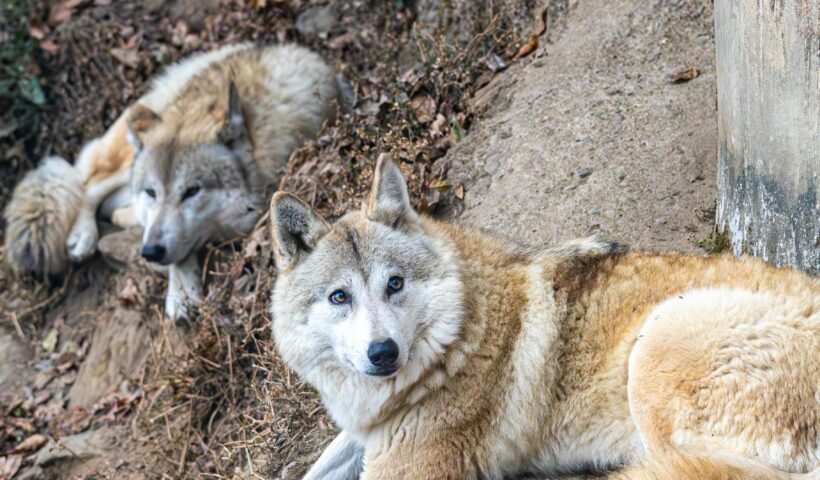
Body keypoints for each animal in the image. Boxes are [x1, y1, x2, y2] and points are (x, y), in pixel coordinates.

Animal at [4, 43, 339, 320]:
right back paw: (82, 236)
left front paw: (181, 292)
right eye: (153, 192)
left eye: (191, 191)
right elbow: (176, 248)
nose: (150, 252)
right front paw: (181, 293)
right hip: (125, 162)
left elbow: (182, 243)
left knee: (110, 203)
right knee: (89, 184)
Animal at [269, 155, 819, 479]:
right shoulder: (370, 433)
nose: (382, 353)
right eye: (339, 297)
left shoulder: (406, 467)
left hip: (656, 351)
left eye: (395, 284)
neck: (455, 336)